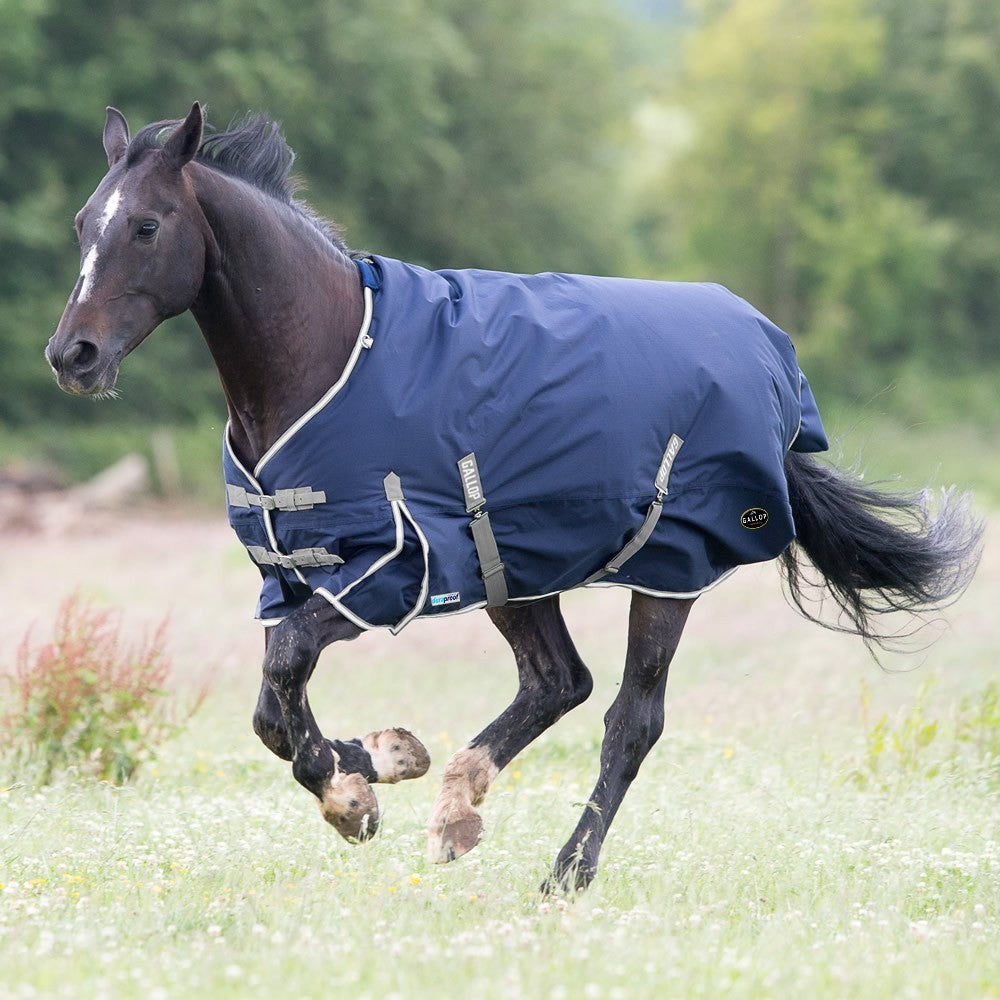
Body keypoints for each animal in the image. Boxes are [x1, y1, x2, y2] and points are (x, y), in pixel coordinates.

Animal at [46, 104, 982, 892]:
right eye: (83, 225)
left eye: (146, 225)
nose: (73, 355)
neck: (332, 356)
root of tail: (771, 359)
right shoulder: (301, 576)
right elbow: (269, 711)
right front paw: (378, 760)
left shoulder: (393, 571)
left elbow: (284, 674)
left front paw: (354, 796)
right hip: (516, 570)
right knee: (557, 682)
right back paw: (456, 807)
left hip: (668, 570)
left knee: (629, 720)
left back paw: (565, 871)